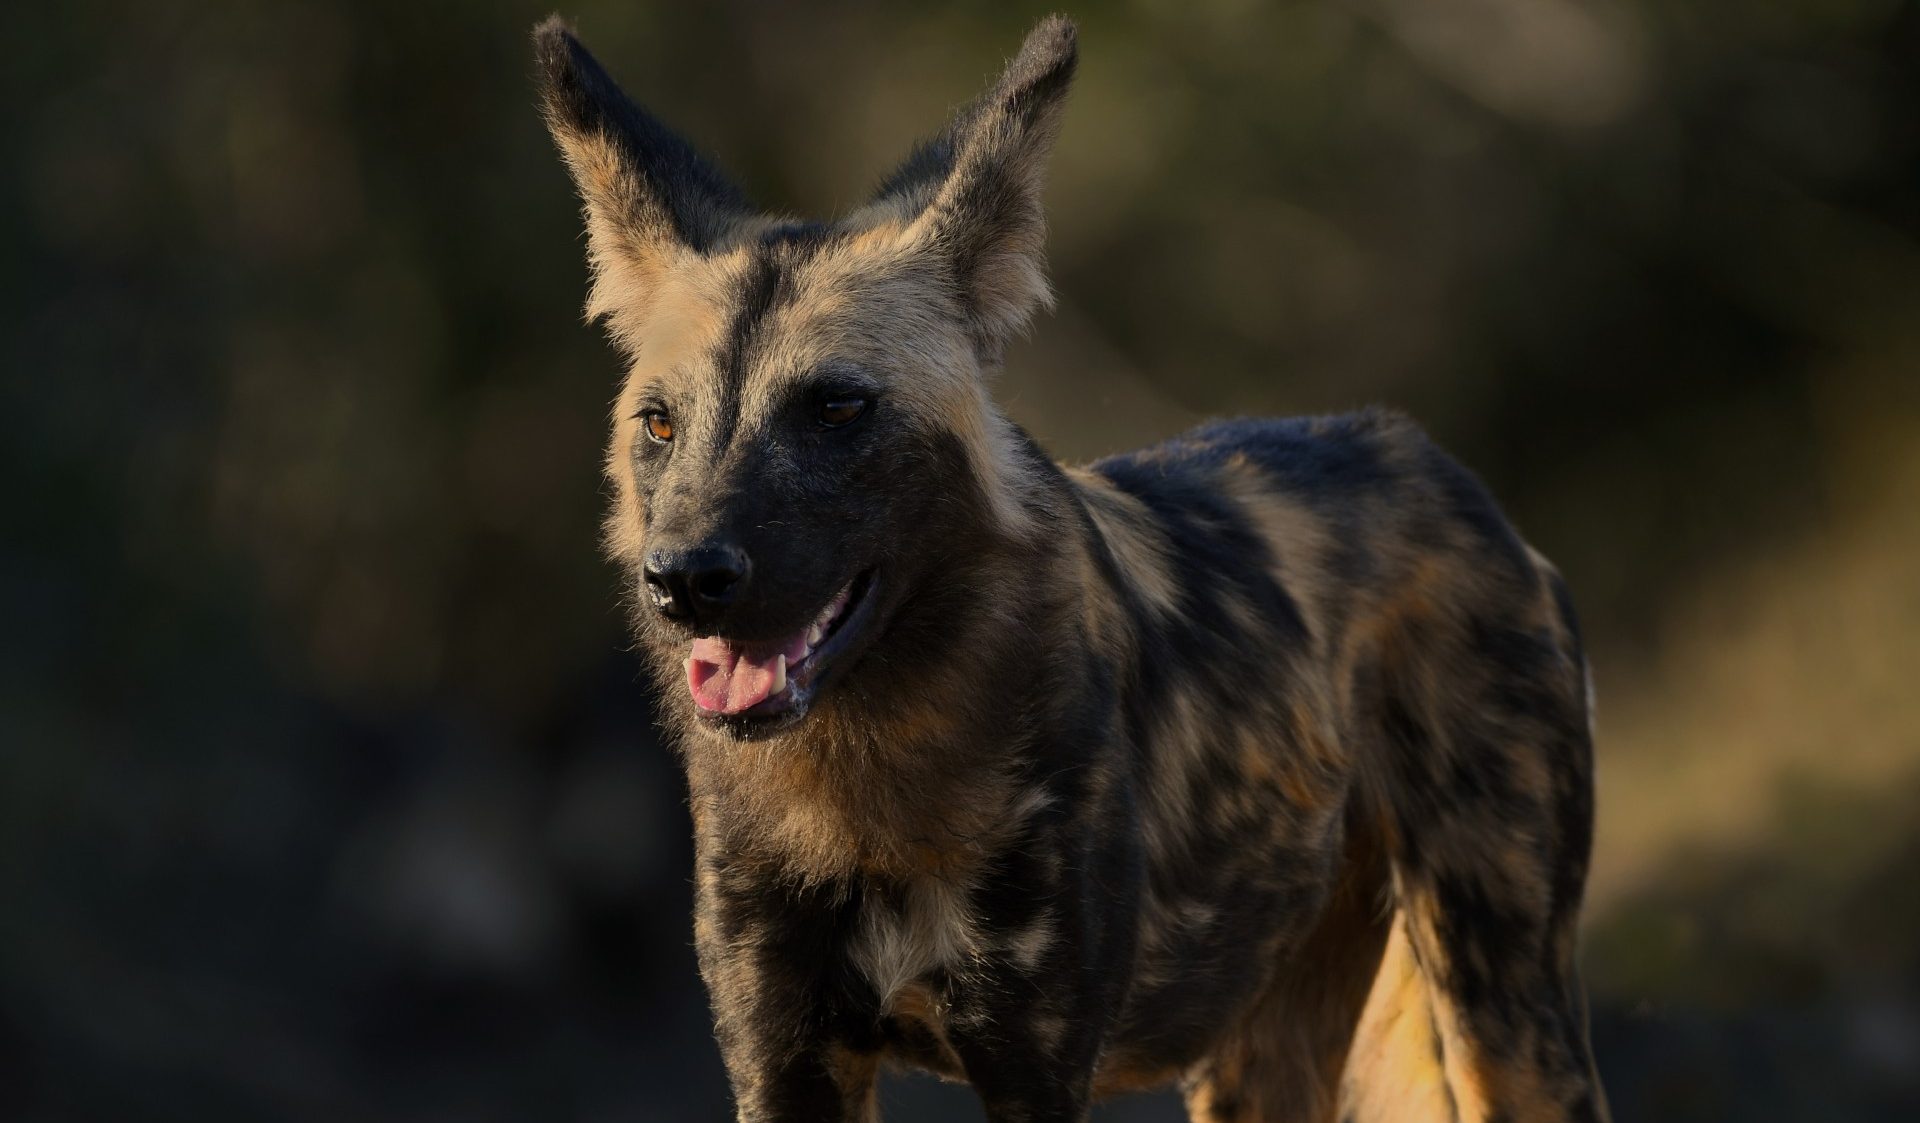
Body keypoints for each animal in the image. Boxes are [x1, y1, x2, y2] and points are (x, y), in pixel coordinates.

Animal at [537, 15, 1605, 1121]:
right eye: (660, 425)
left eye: (836, 407)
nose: (685, 577)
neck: (871, 786)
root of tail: (1432, 458)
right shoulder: (785, 1062)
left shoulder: (1038, 1068)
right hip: (1258, 1054)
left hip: (1508, 1019)